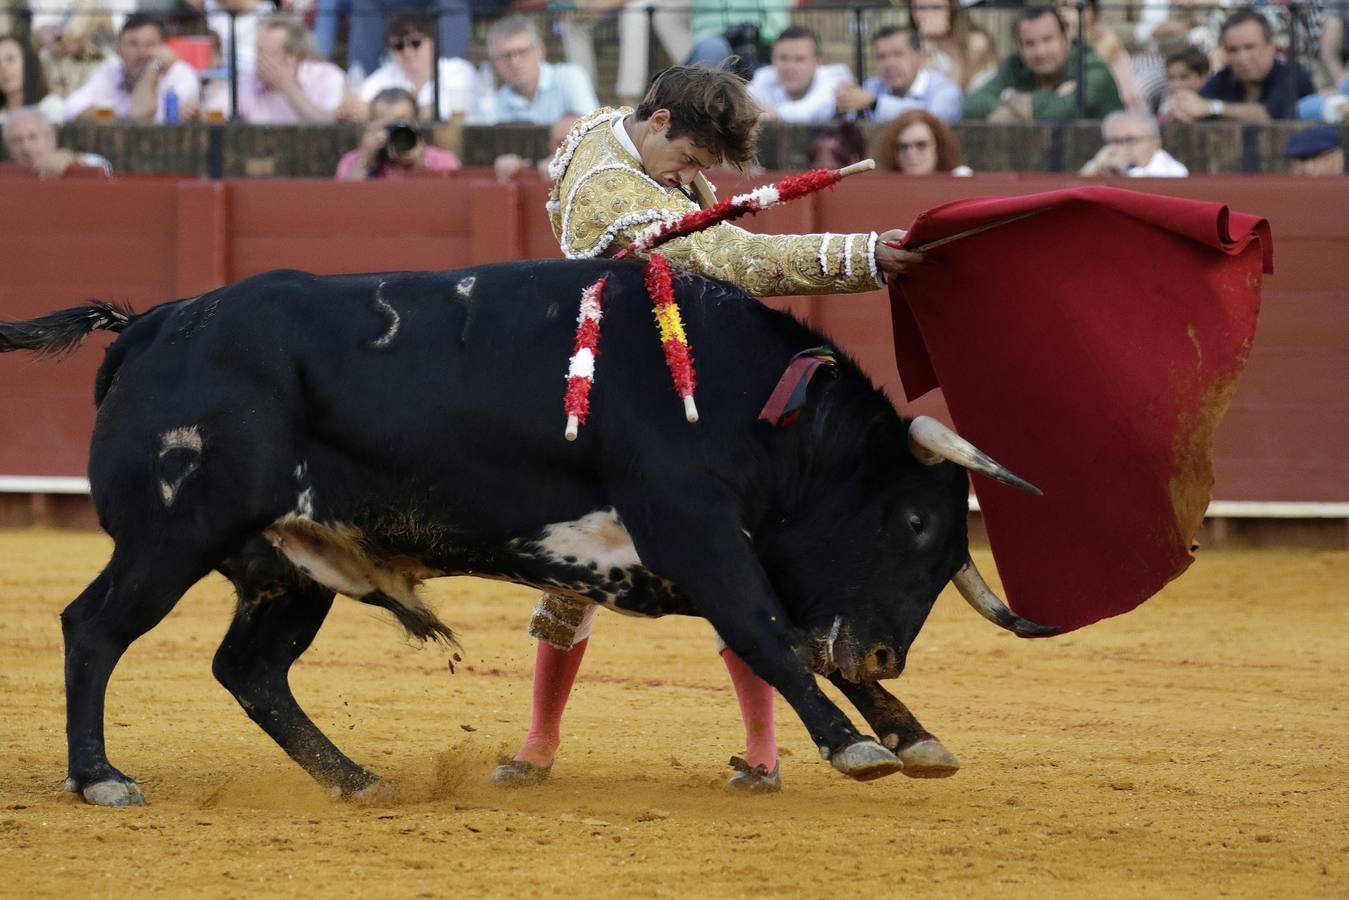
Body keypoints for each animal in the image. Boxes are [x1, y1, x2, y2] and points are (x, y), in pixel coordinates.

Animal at [0, 260, 1052, 809]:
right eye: (913, 520)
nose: (886, 651)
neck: (752, 407)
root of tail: (152, 325)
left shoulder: (727, 560)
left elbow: (793, 641)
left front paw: (910, 734)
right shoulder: (695, 536)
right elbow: (772, 638)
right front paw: (855, 748)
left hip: (289, 567)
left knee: (250, 670)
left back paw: (357, 780)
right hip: (168, 538)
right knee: (95, 629)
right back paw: (100, 778)